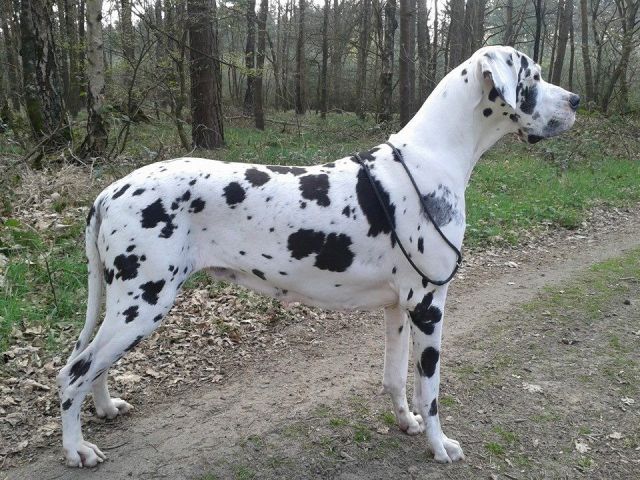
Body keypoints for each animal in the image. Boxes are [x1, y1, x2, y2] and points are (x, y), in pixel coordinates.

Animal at [57, 46, 578, 467]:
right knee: (72, 372)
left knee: (91, 363)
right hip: (143, 303)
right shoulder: (430, 308)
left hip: (125, 307)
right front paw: (438, 445)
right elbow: (430, 391)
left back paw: (105, 408)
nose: (575, 101)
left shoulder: (399, 308)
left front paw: (405, 422)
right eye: (533, 76)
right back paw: (76, 449)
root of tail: (108, 192)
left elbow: (395, 379)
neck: (432, 158)